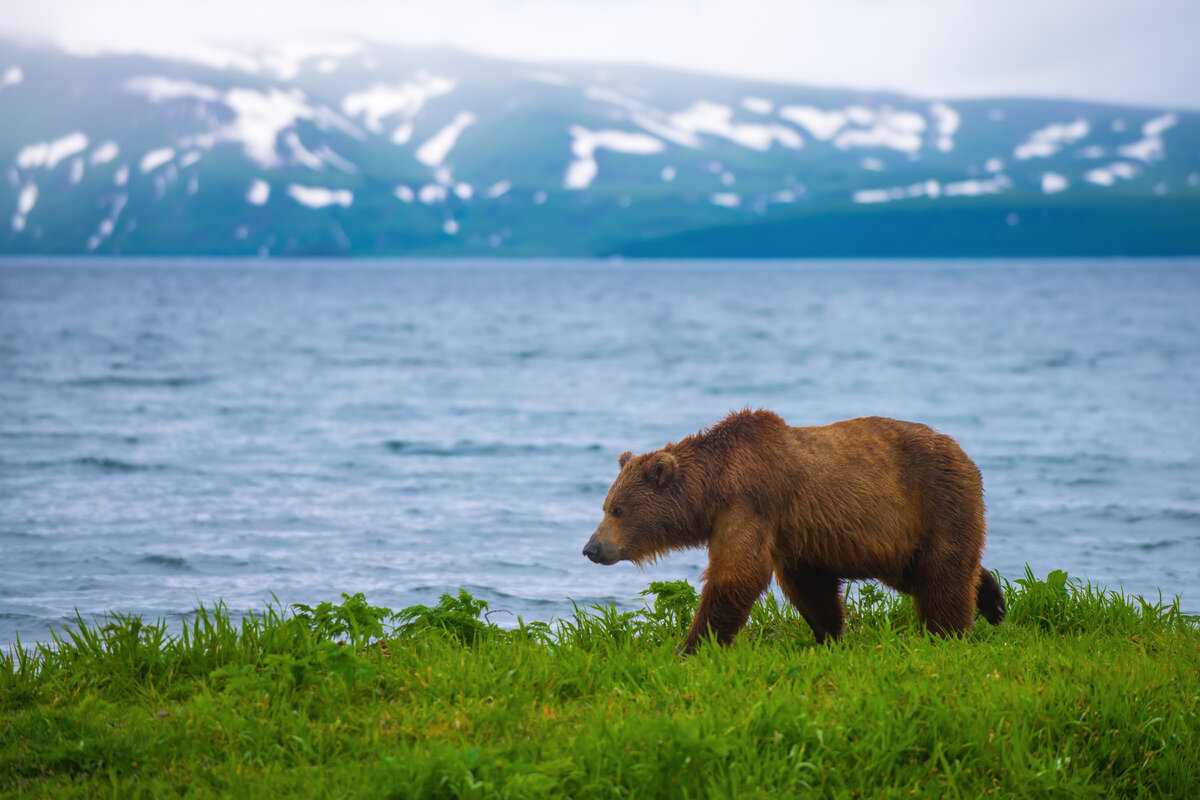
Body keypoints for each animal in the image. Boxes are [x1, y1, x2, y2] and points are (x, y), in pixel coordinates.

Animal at [580, 410, 1003, 652]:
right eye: (606, 506)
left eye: (618, 509)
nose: (591, 548)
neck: (713, 488)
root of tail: (964, 453)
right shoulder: (792, 533)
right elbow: (809, 586)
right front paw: (829, 634)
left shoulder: (750, 502)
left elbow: (737, 574)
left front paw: (693, 646)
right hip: (898, 538)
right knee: (924, 573)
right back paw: (993, 601)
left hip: (934, 501)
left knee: (941, 574)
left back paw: (946, 635)